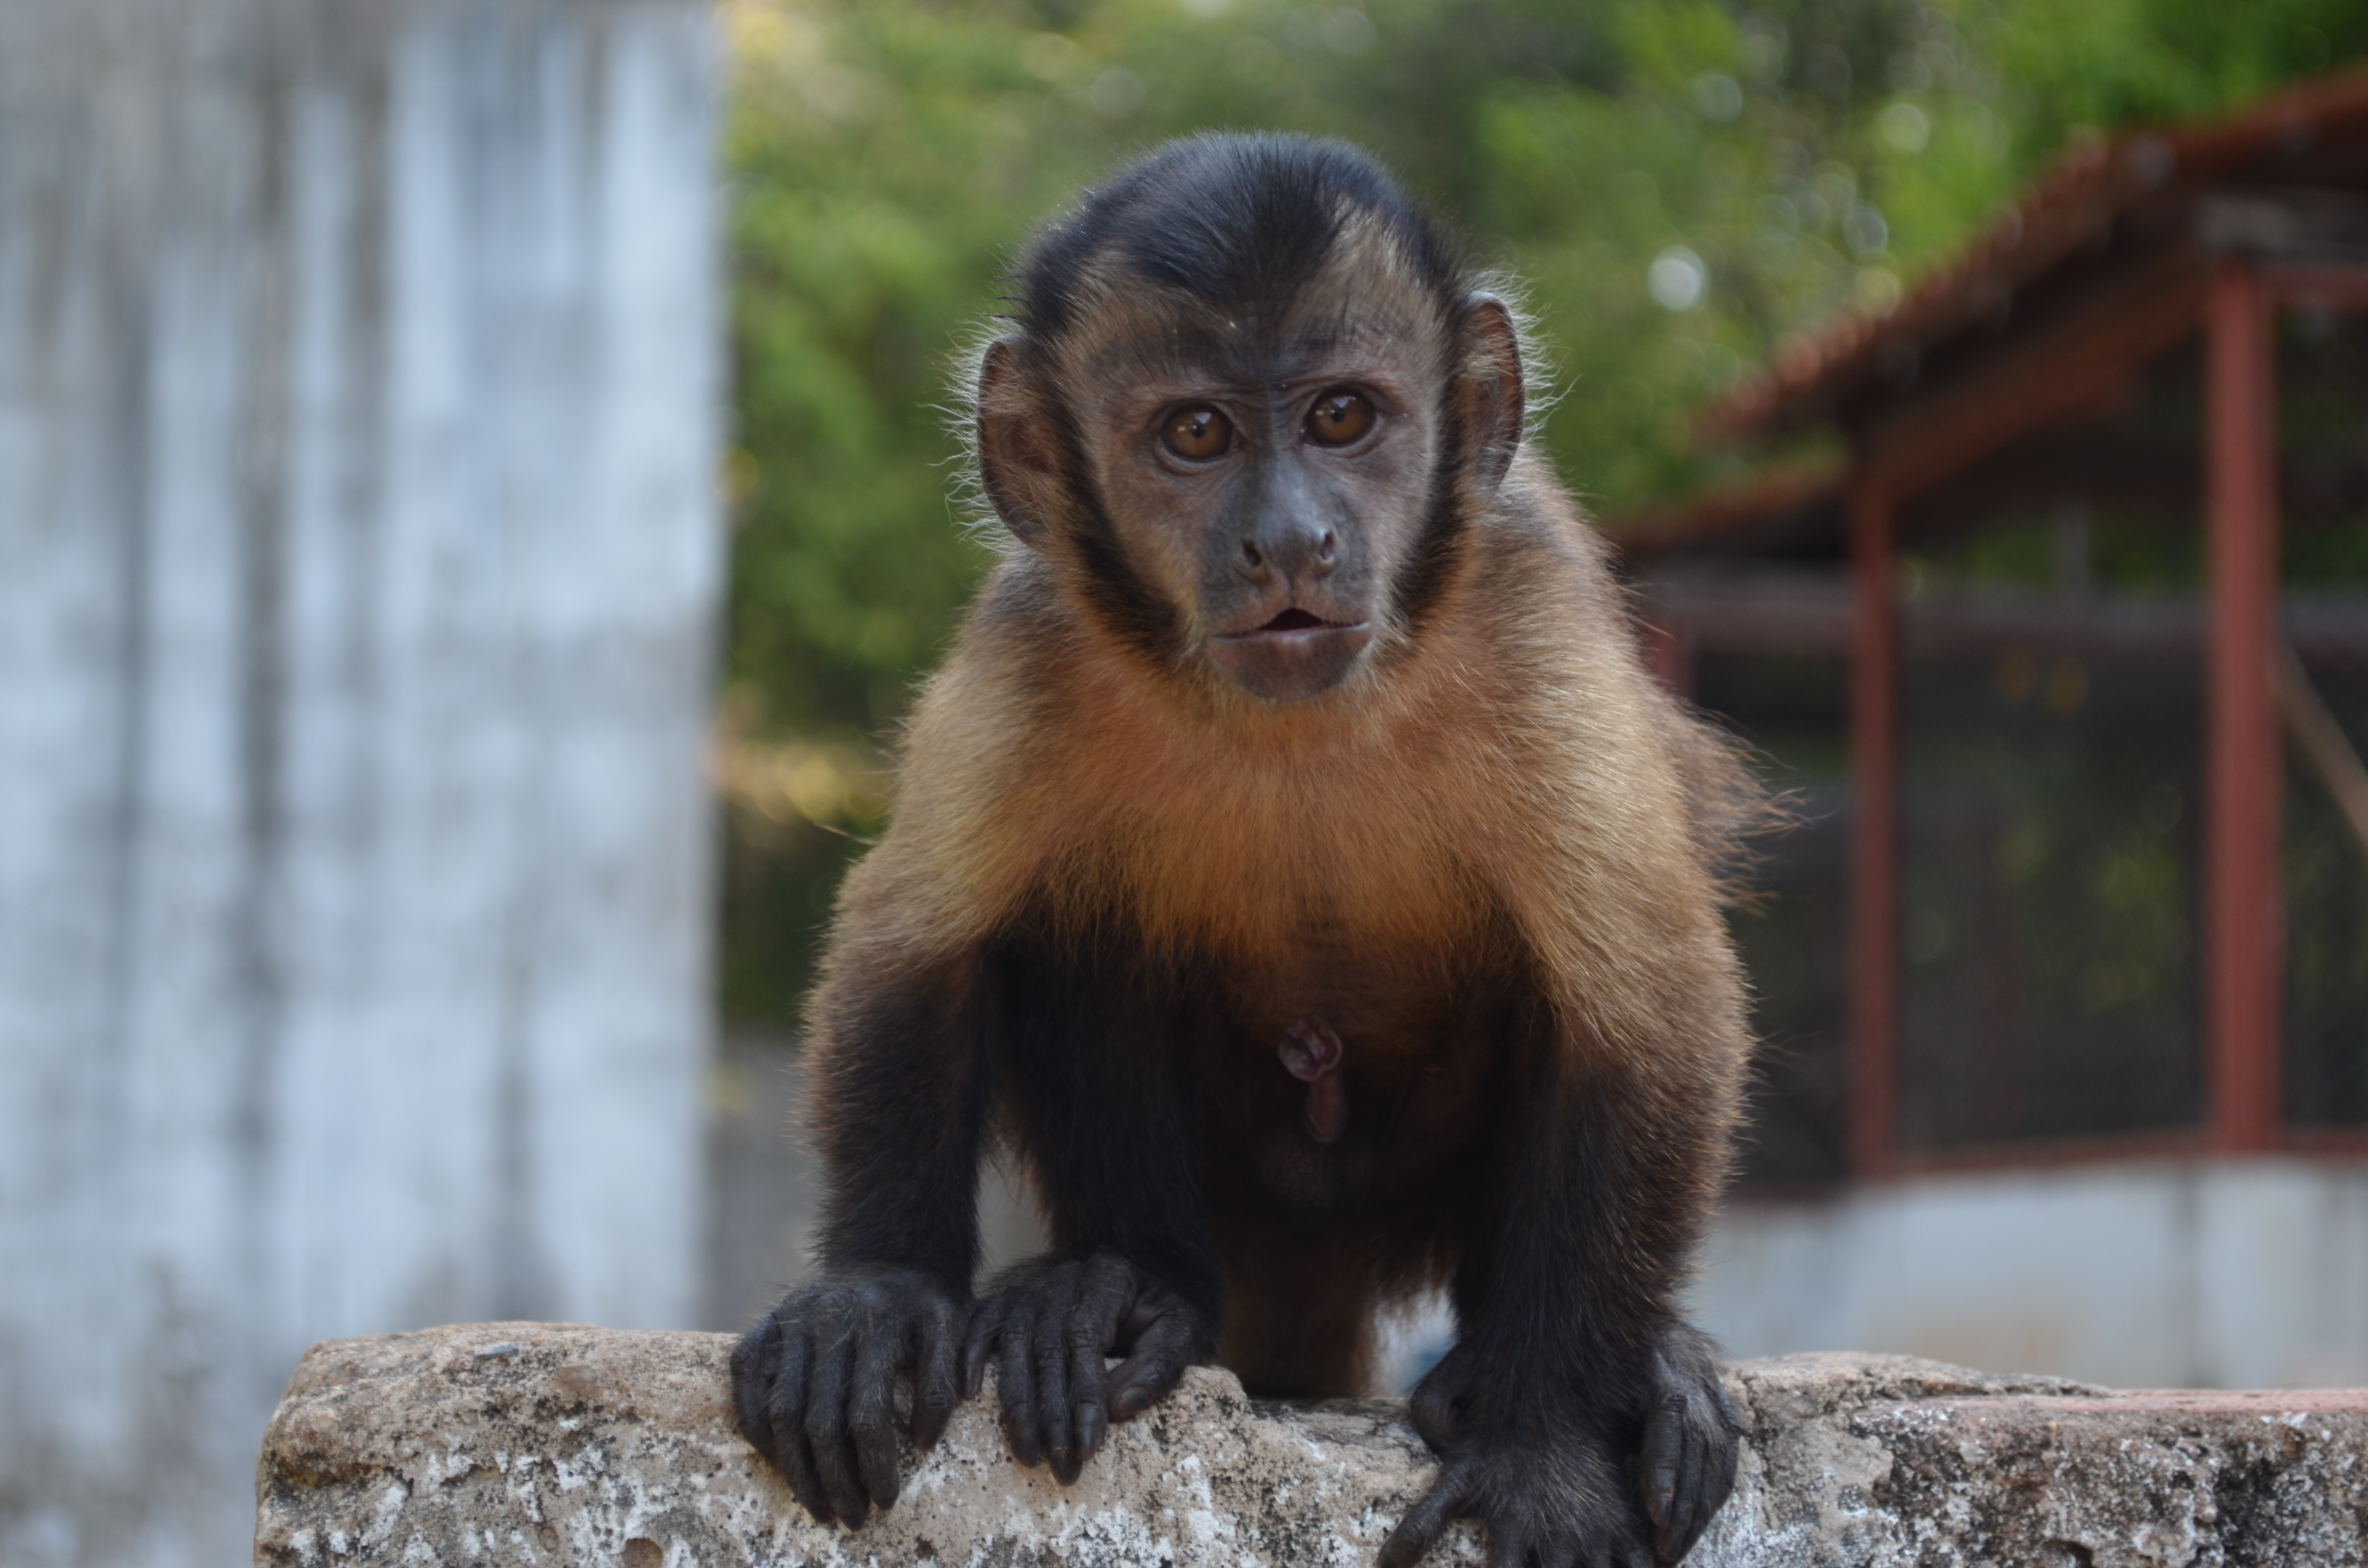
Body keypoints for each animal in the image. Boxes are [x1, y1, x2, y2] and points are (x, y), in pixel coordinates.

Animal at [730, 133, 1755, 1568]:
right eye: (1197, 436)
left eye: (1343, 419)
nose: (1288, 539)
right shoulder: (1033, 638)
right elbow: (913, 943)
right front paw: (873, 1293)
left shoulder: (1528, 614)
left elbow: (1652, 1009)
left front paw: (1546, 1446)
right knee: (1069, 926)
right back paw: (1127, 1293)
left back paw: (1612, 1371)